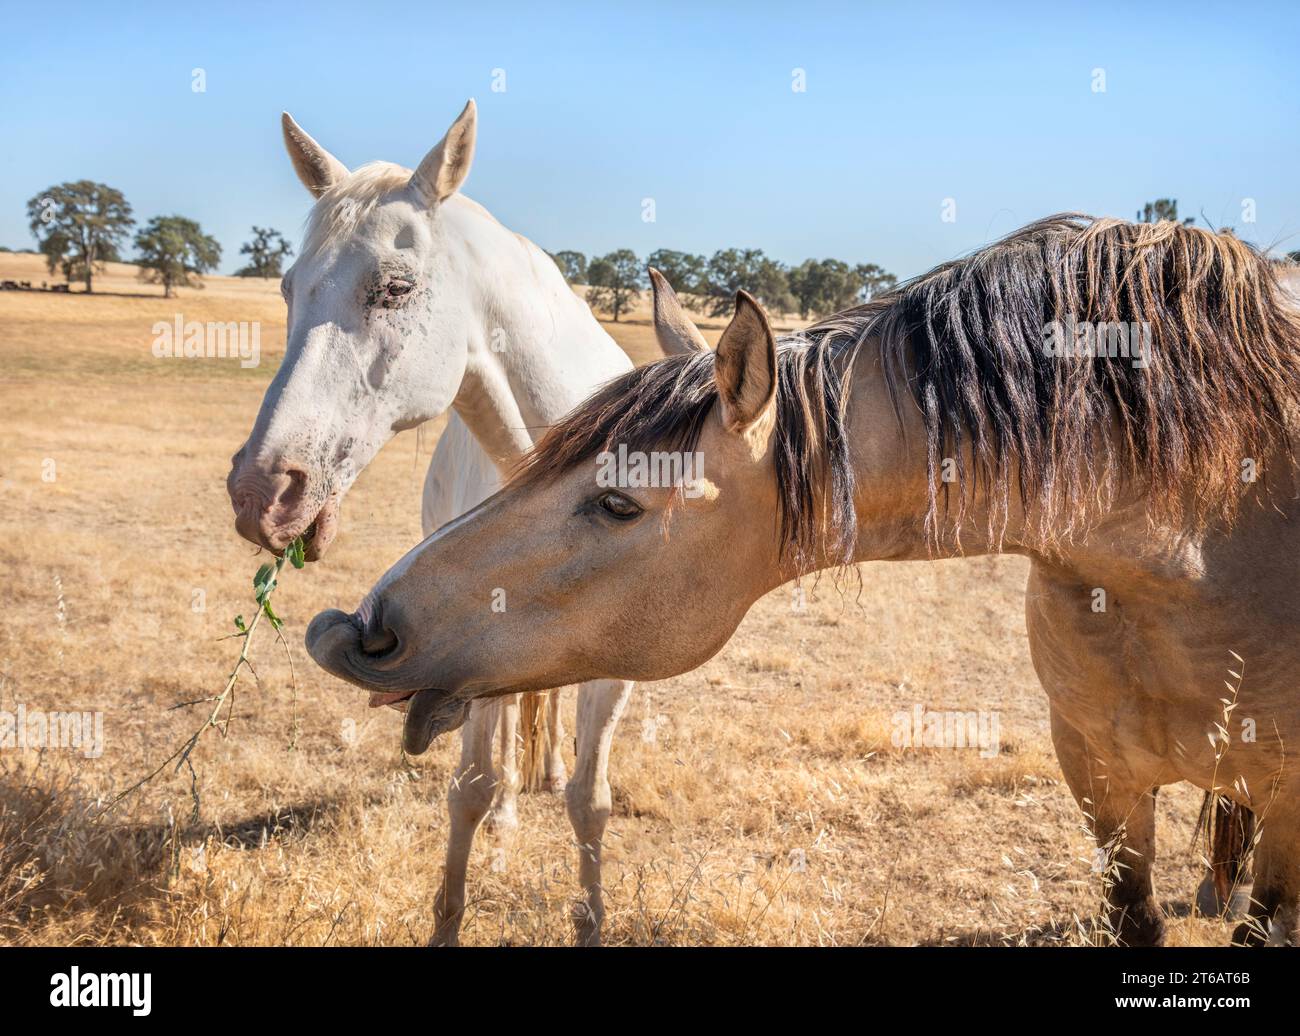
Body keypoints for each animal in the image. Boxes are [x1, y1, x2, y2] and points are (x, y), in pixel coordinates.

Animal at [232, 98, 644, 946]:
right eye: (288, 289)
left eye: (394, 288)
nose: (261, 491)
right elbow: (474, 786)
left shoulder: (619, 667)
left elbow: (592, 802)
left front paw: (591, 917)